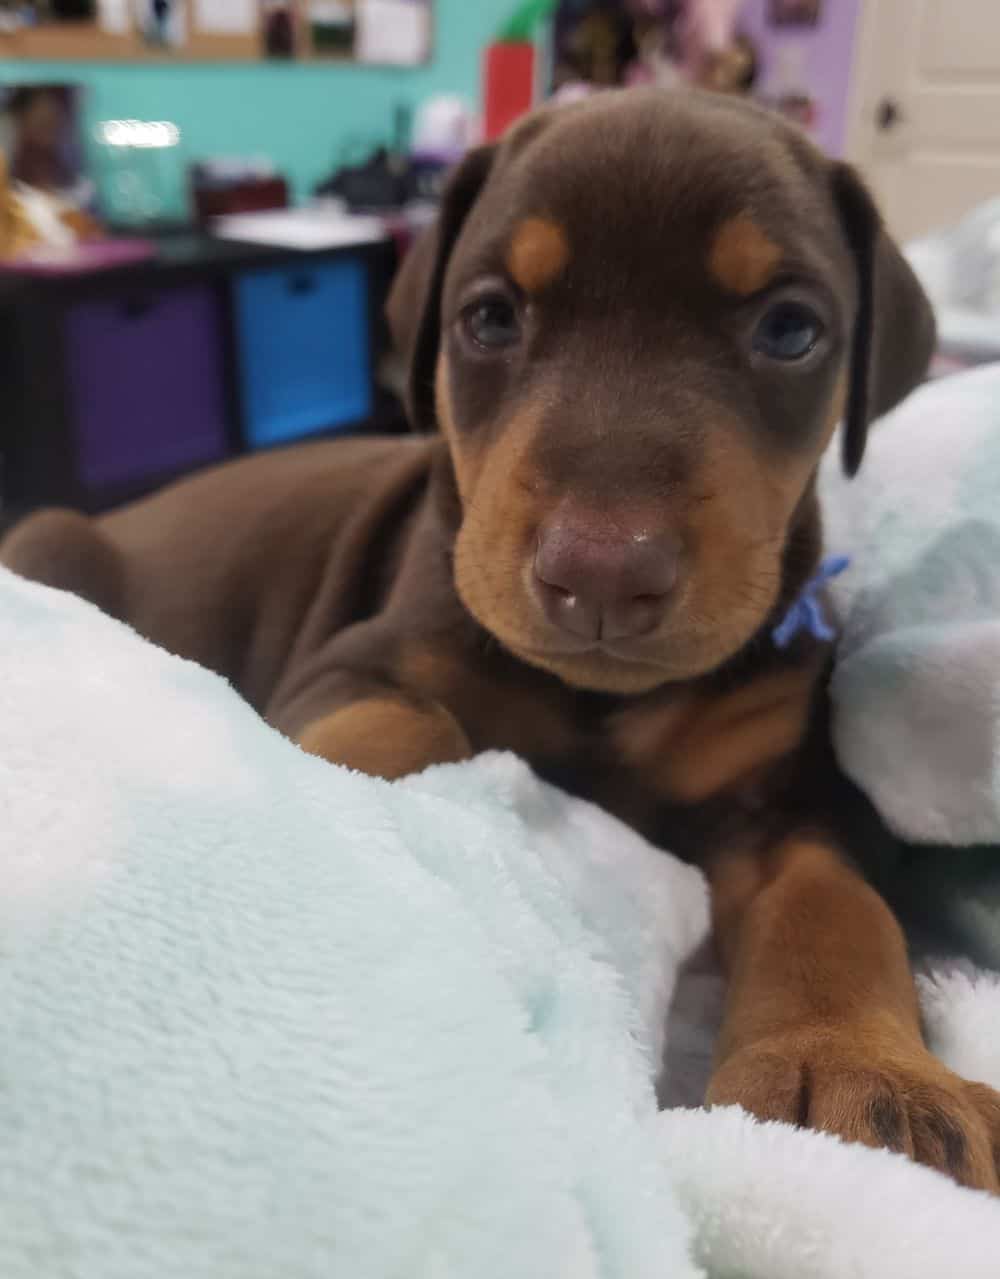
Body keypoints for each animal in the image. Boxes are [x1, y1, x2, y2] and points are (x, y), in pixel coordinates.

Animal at [7, 90, 1000, 1186]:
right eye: (489, 317)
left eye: (790, 329)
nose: (602, 572)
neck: (601, 699)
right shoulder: (349, 663)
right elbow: (402, 727)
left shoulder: (791, 798)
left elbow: (835, 905)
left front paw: (853, 1062)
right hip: (51, 537)